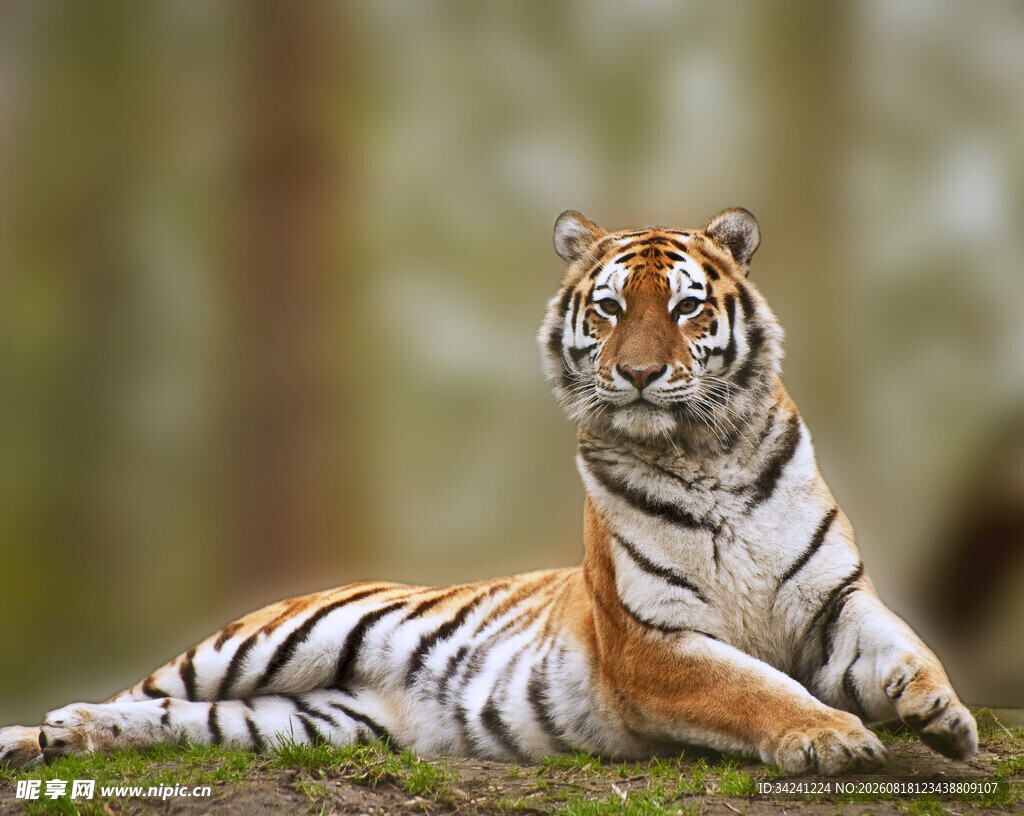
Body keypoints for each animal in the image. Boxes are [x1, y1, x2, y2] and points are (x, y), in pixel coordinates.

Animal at [0, 208, 978, 776]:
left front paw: (939, 713)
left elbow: (906, 643)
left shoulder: (835, 601)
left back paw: (72, 739)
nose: (638, 375)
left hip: (296, 719)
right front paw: (832, 735)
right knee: (140, 687)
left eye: (688, 306)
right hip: (259, 643)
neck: (708, 452)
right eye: (612, 308)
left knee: (169, 717)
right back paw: (34, 736)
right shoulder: (650, 642)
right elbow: (753, 688)